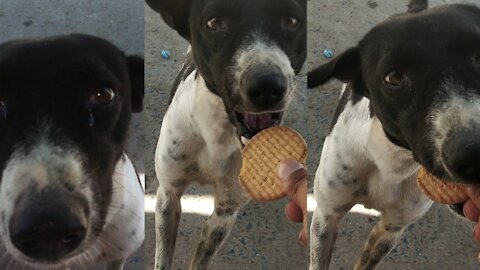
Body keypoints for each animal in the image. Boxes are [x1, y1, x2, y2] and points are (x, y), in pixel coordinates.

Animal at [145, 0, 308, 268]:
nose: (267, 86)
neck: (217, 135)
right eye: (214, 22)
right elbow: (163, 257)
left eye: (292, 21)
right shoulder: (168, 195)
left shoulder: (225, 212)